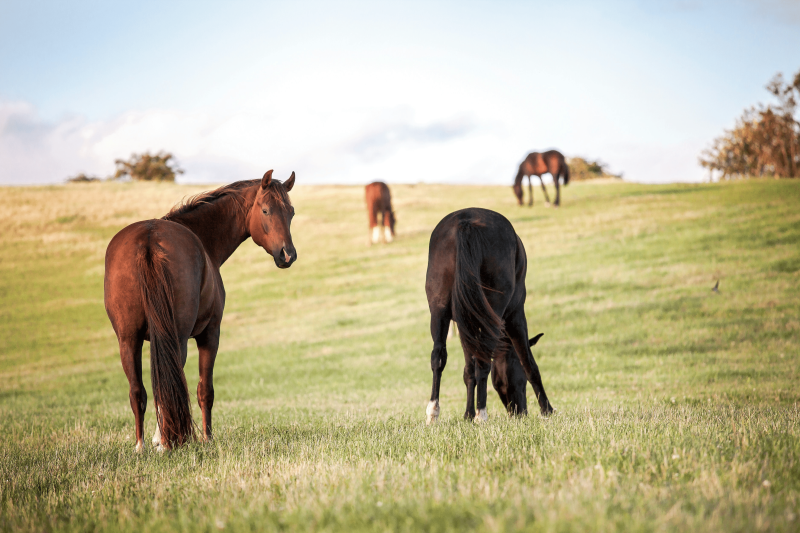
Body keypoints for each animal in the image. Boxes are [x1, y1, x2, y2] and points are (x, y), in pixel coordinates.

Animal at [103, 169, 296, 448]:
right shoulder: (210, 334)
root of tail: (149, 240)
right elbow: (205, 390)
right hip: (178, 337)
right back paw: (166, 441)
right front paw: (206, 437)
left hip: (128, 340)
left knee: (138, 391)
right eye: (266, 210)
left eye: (291, 212)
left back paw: (142, 445)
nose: (287, 255)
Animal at [422, 206, 552, 422]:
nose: (520, 412)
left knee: (438, 356)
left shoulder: (465, 324)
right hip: (496, 311)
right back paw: (481, 414)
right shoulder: (515, 316)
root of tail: (465, 222)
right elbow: (528, 363)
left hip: (439, 311)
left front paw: (467, 415)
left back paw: (433, 413)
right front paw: (547, 410)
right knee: (483, 361)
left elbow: (468, 370)